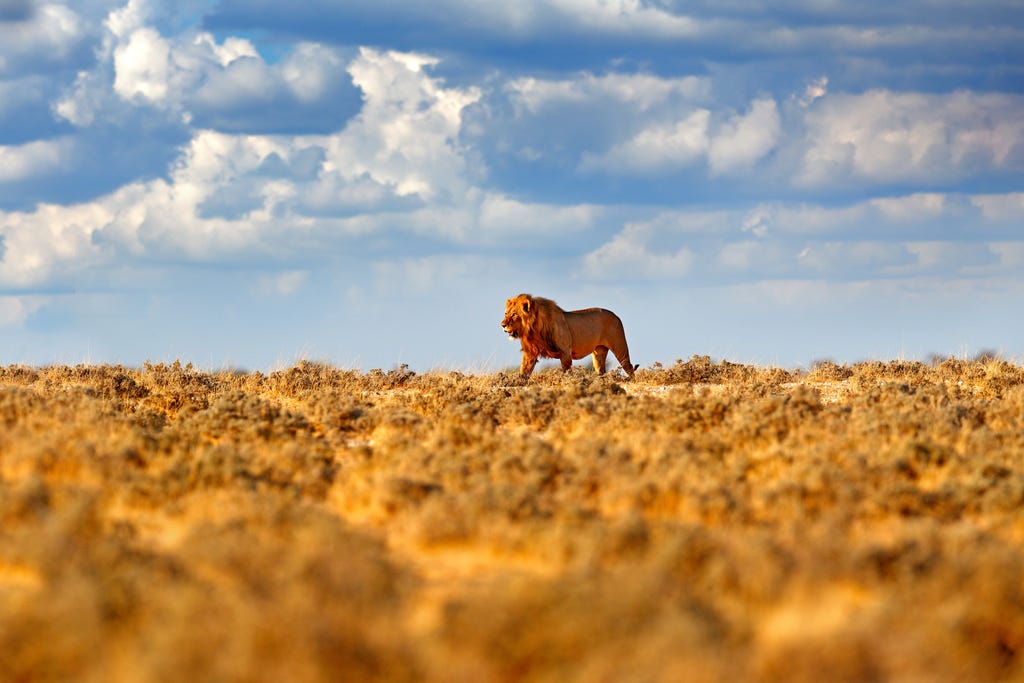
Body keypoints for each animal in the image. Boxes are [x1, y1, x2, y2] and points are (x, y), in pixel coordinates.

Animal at [499, 292, 634, 382]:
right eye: (506, 313)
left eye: (514, 314)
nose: (502, 325)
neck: (533, 330)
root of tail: (616, 315)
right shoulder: (530, 353)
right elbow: (523, 372)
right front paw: (517, 384)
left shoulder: (565, 352)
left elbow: (567, 372)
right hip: (598, 353)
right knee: (602, 371)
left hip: (620, 347)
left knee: (629, 366)